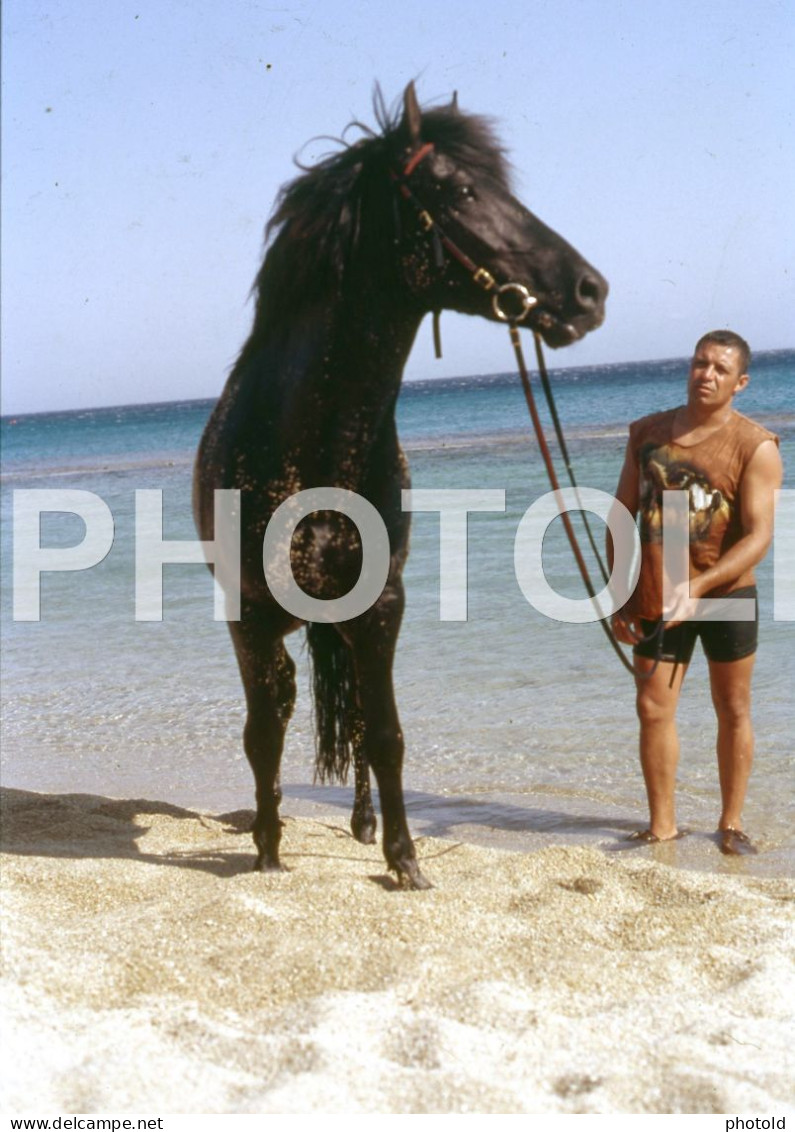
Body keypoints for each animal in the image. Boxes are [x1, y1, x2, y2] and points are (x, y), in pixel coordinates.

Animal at [194, 83, 611, 887]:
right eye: (460, 191)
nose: (589, 291)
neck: (314, 444)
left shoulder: (382, 606)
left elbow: (384, 733)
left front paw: (404, 858)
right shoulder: (248, 618)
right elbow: (263, 731)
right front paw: (266, 847)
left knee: (356, 717)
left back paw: (361, 823)